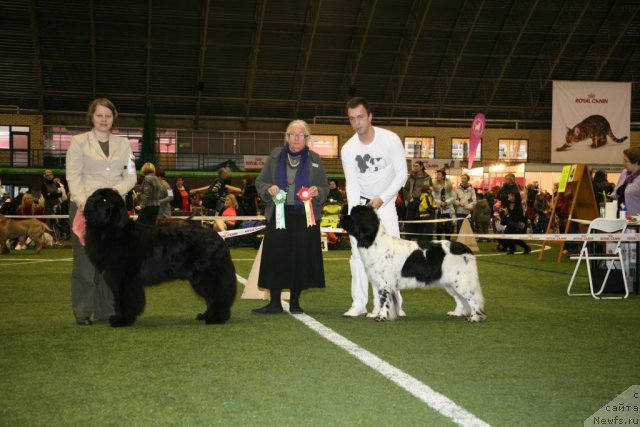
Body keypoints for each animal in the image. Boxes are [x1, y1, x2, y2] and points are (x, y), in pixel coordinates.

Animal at [84, 188, 236, 328]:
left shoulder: (124, 279)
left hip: (205, 275)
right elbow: (117, 301)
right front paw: (118, 318)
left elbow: (124, 301)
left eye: (104, 200)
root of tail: (218, 237)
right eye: (93, 195)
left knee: (218, 296)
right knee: (210, 299)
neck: (111, 230)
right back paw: (205, 316)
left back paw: (217, 318)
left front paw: (122, 321)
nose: (90, 201)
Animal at [340, 206, 484, 322]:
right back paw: (456, 313)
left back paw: (475, 317)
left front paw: (381, 317)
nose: (341, 217)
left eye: (352, 215)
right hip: (451, 283)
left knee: (473, 299)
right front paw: (378, 314)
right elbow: (381, 300)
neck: (374, 241)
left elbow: (384, 300)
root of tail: (466, 249)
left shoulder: (385, 283)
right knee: (460, 300)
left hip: (461, 281)